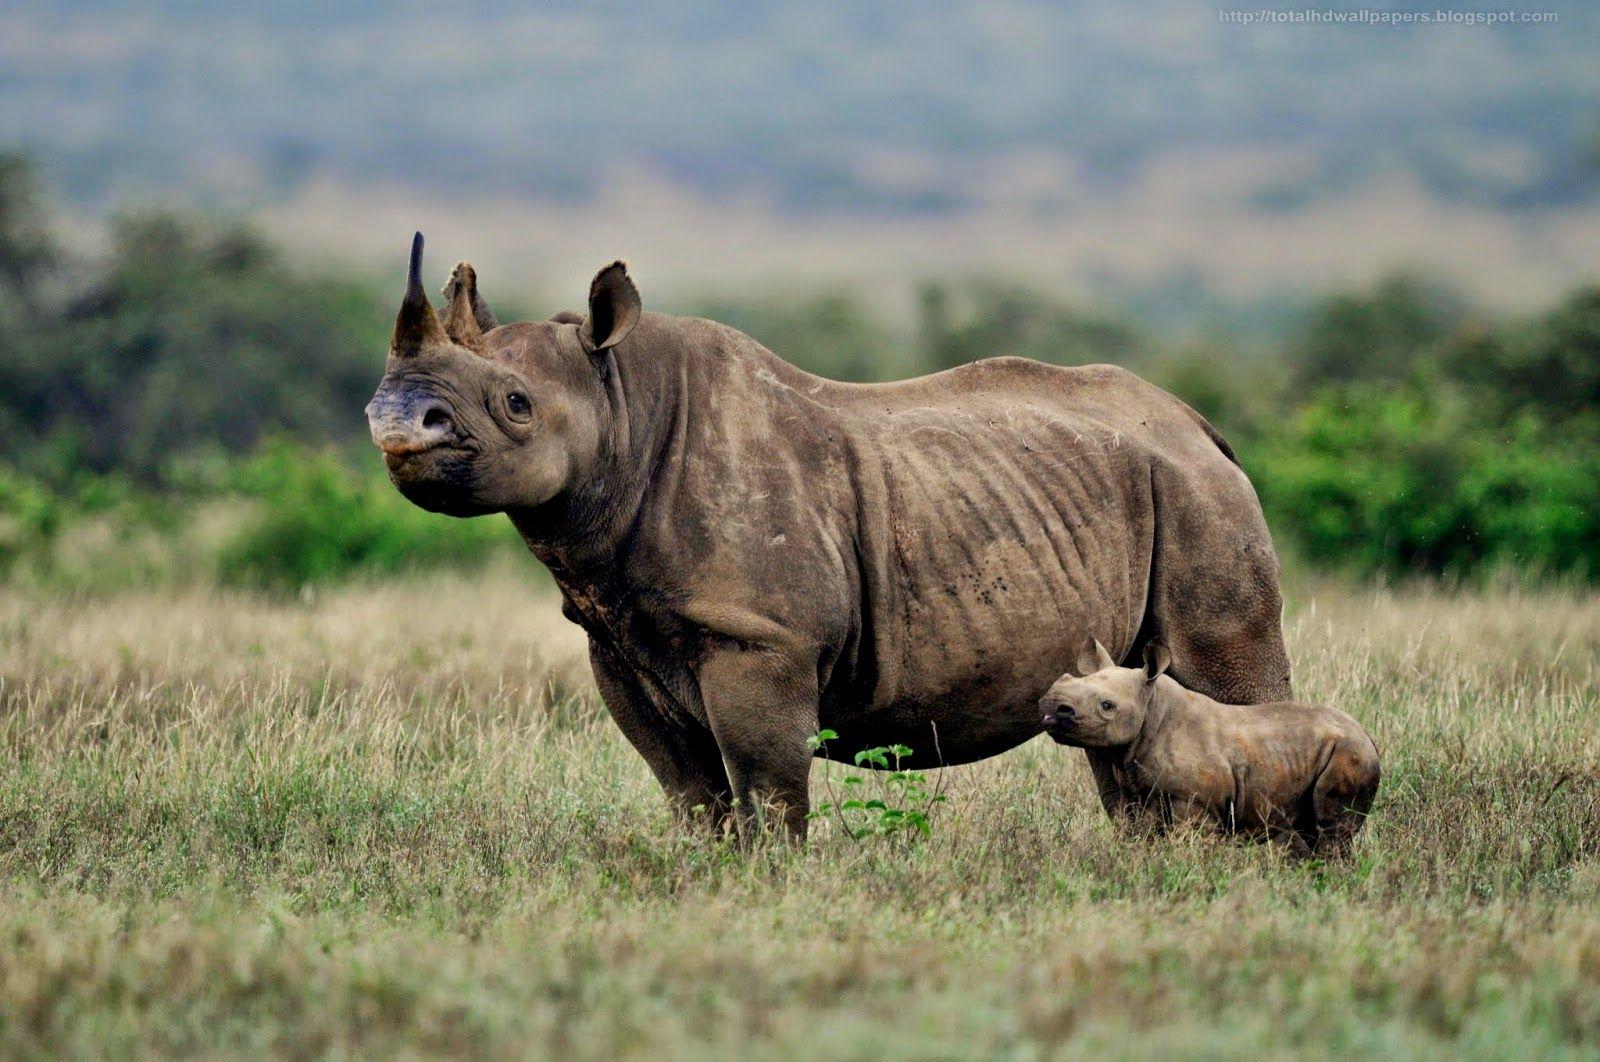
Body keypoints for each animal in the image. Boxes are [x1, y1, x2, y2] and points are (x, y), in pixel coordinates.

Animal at [366, 233, 1294, 837]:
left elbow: (767, 791)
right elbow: (689, 793)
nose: (395, 419)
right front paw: (702, 883)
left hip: (1200, 500)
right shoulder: (617, 640)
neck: (622, 404)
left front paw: (766, 892)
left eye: (516, 405)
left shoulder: (762, 641)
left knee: (1227, 677)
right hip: (1155, 487)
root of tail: (1198, 427)